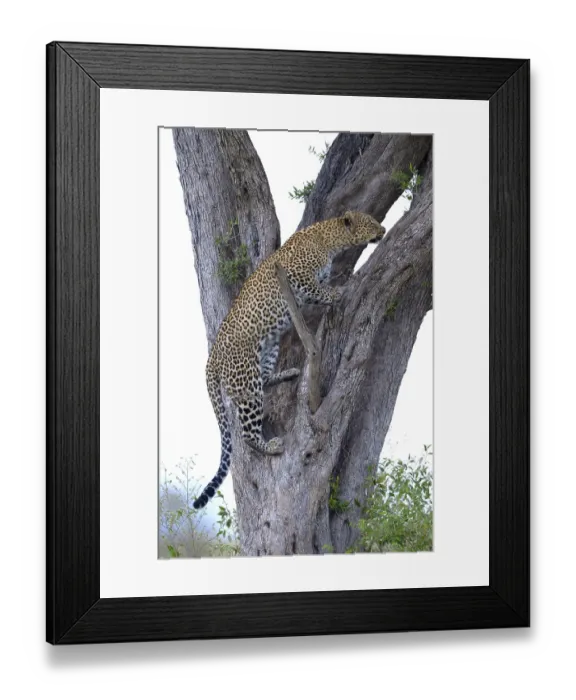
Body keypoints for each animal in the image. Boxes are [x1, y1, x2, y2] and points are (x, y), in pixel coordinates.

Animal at [192, 210, 386, 509]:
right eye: (372, 223)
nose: (384, 230)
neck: (329, 240)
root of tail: (211, 358)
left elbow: (320, 291)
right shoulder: (297, 276)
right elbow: (321, 291)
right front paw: (340, 291)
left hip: (269, 349)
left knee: (266, 378)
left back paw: (288, 373)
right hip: (246, 382)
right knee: (247, 432)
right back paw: (270, 445)